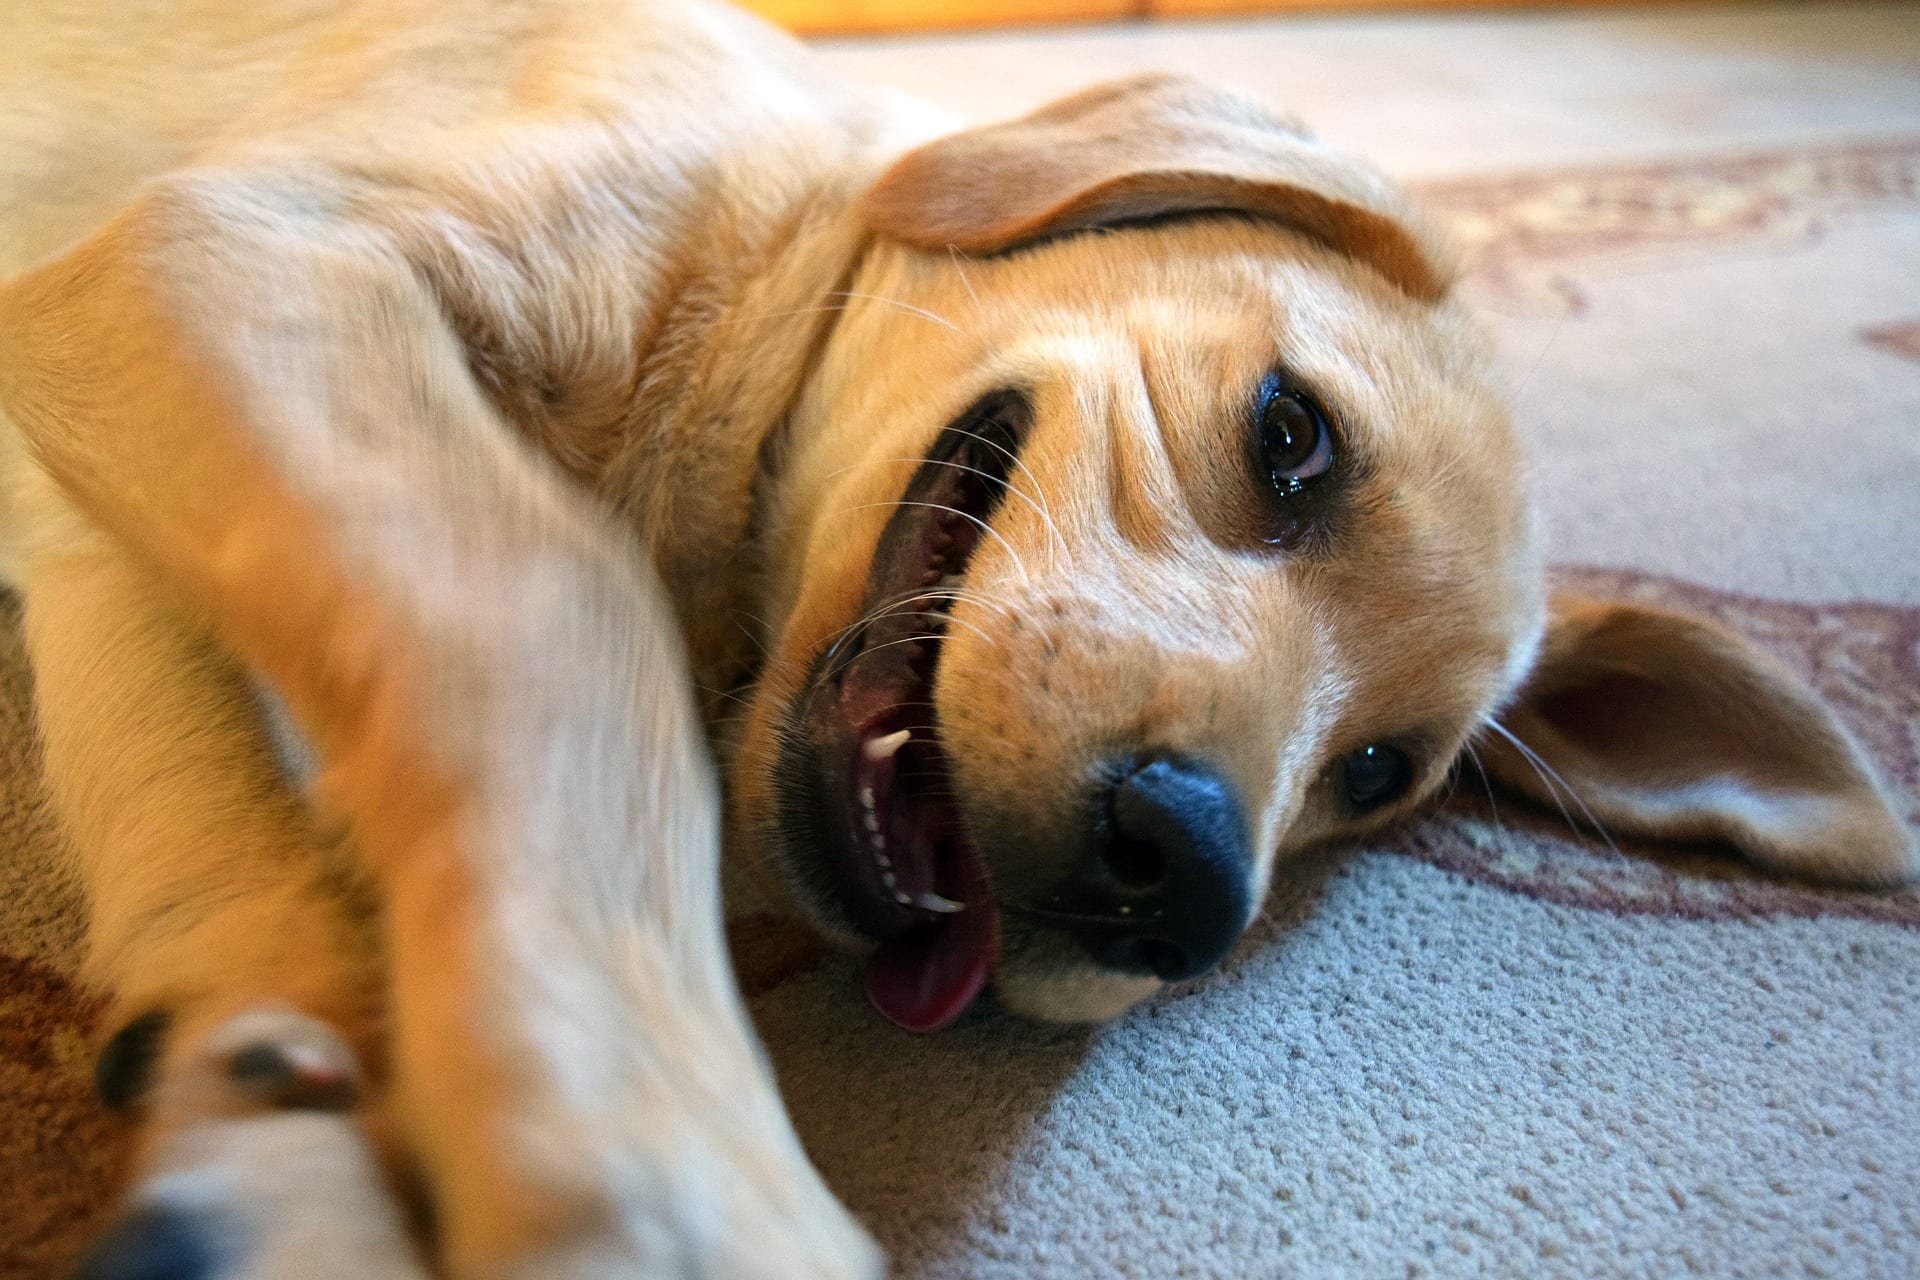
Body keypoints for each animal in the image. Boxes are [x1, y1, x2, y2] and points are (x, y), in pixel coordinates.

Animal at [0, 0, 1912, 1274]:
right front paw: (661, 1170)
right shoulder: (235, 266)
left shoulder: (125, 500)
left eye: (1379, 772)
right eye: (1293, 439)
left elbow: (227, 848)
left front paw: (266, 1136)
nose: (1182, 887)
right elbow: (551, 621)